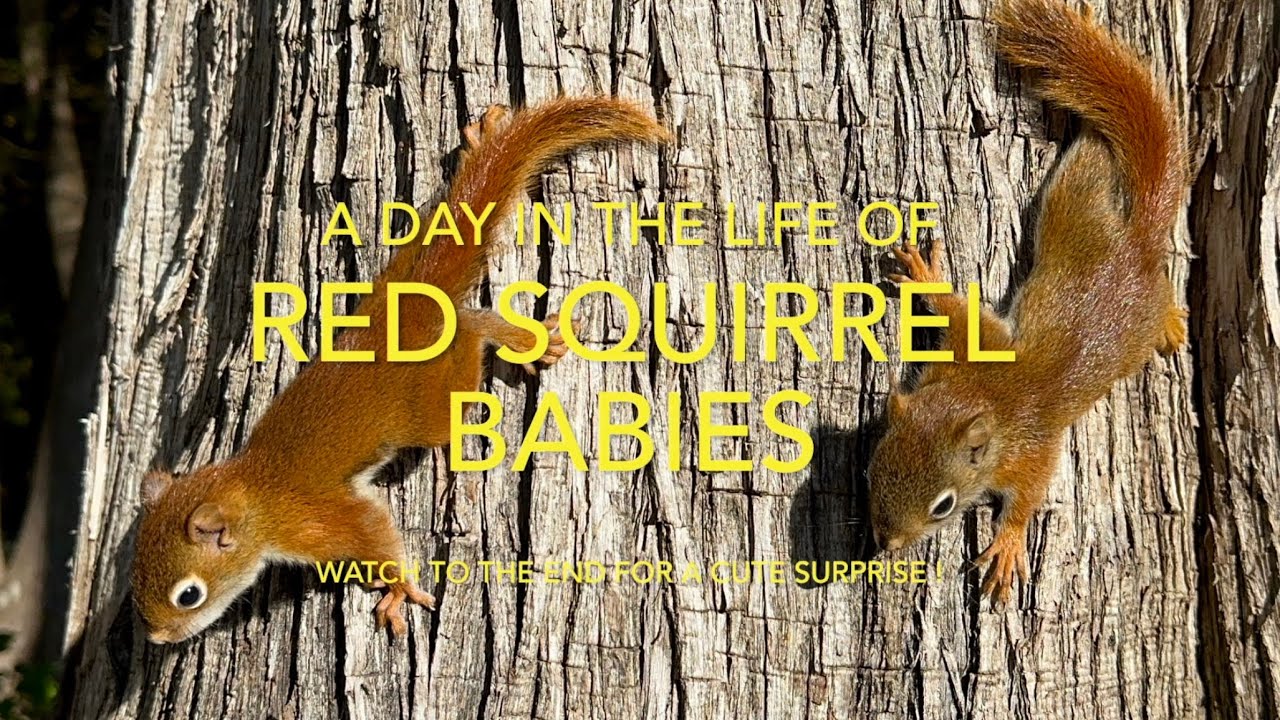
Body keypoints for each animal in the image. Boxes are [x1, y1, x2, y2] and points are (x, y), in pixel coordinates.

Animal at [131, 97, 668, 642]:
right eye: (134, 577)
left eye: (189, 594)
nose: (155, 637)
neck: (253, 491)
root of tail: (406, 309)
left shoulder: (317, 521)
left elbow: (374, 532)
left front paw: (397, 588)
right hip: (395, 274)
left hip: (430, 405)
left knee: (470, 332)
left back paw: (519, 338)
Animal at [867, 0, 1187, 603]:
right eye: (875, 465)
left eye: (943, 506)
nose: (886, 543)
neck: (983, 396)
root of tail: (1137, 245)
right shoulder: (973, 349)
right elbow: (961, 313)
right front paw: (924, 274)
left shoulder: (1030, 450)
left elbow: (1030, 493)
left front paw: (1009, 543)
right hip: (1074, 203)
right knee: (1092, 160)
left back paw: (1172, 320)